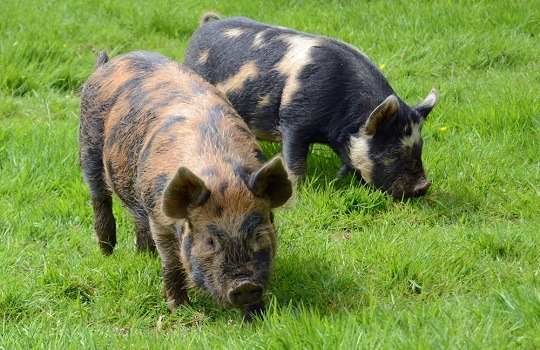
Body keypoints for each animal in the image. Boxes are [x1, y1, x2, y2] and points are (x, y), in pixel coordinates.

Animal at [78, 50, 294, 322]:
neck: (220, 172)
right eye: (210, 240)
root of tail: (109, 64)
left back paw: (144, 256)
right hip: (88, 147)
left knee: (137, 221)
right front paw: (177, 309)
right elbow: (172, 263)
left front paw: (256, 317)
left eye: (258, 234)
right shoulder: (158, 216)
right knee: (100, 199)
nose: (243, 285)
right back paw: (107, 254)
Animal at [185, 13, 438, 198]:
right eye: (393, 150)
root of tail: (205, 26)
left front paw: (340, 178)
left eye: (420, 146)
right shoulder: (293, 121)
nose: (424, 186)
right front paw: (297, 192)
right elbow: (295, 161)